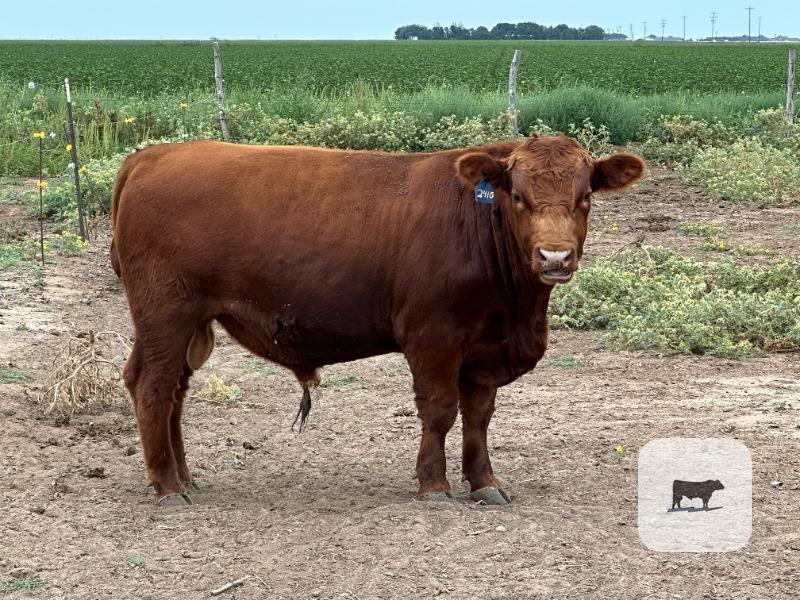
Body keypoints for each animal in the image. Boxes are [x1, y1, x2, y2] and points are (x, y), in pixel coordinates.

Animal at [110, 135, 645, 506]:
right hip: (166, 314)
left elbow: (478, 416)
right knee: (153, 385)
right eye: (518, 197)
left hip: (188, 324)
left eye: (585, 197)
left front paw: (484, 482)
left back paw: (184, 475)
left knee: (175, 391)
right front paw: (434, 484)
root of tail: (153, 155)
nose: (554, 257)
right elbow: (439, 410)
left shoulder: (483, 349)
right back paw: (167, 486)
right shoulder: (433, 337)